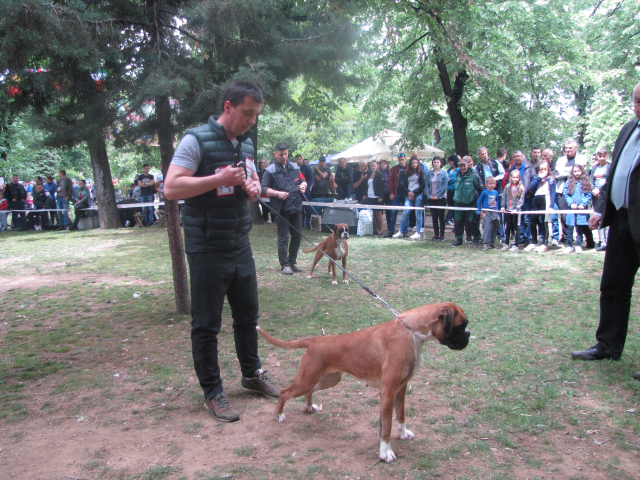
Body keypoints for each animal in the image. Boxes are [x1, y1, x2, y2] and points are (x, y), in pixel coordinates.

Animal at [256, 302, 470, 464]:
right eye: (461, 325)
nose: (468, 335)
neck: (412, 331)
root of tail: (314, 340)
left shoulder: (401, 389)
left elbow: (400, 415)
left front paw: (403, 433)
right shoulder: (388, 391)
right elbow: (386, 427)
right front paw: (385, 452)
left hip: (325, 380)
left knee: (309, 392)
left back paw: (309, 407)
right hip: (306, 380)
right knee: (284, 392)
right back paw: (279, 415)